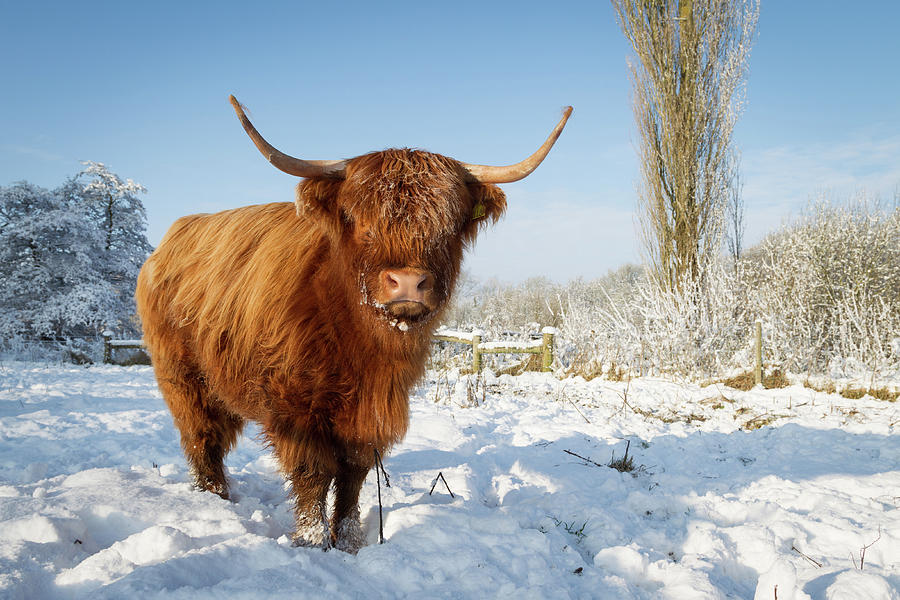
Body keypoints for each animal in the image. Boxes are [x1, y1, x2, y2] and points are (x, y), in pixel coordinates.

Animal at [135, 96, 568, 552]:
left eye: (447, 226)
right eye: (360, 221)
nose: (408, 282)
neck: (359, 344)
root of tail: (171, 240)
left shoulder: (371, 410)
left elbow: (353, 474)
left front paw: (348, 539)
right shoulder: (294, 407)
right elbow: (313, 473)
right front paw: (311, 540)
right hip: (184, 377)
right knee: (203, 437)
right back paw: (214, 497)